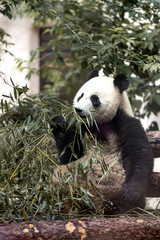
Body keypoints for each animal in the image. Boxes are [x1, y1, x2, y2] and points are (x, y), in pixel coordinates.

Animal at [51, 70, 154, 216]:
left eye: (94, 98)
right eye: (81, 96)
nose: (78, 109)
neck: (100, 123)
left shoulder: (124, 122)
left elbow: (139, 154)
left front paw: (131, 192)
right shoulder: (81, 129)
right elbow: (69, 155)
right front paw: (59, 127)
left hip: (112, 186)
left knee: (123, 201)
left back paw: (111, 207)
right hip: (67, 179)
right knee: (58, 178)